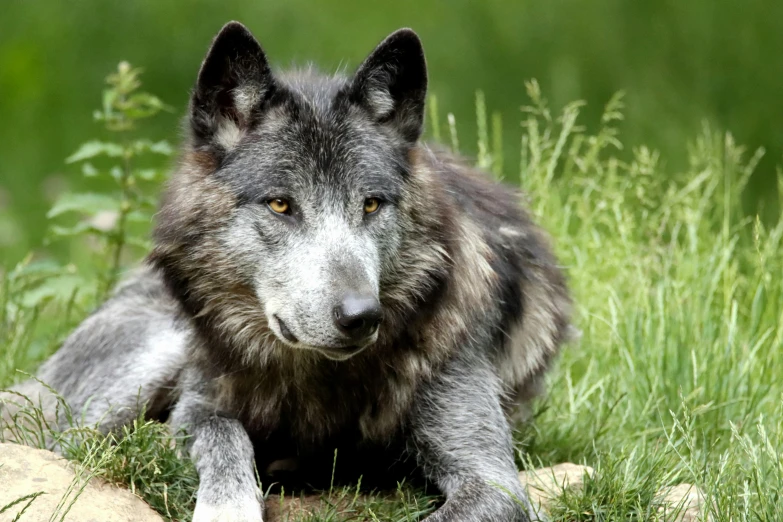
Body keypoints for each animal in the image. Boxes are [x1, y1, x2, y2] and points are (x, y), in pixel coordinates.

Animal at [3, 21, 572, 520]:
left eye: (370, 204)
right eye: (280, 205)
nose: (361, 316)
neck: (318, 382)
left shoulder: (493, 480)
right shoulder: (197, 409)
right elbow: (225, 435)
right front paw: (227, 508)